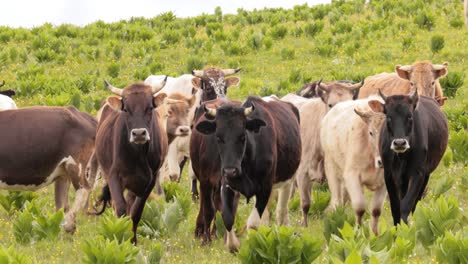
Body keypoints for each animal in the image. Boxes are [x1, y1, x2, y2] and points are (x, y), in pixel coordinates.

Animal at [94, 80, 169, 243]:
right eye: (126, 110)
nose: (139, 133)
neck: (137, 155)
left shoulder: (149, 182)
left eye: (149, 108)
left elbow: (136, 212)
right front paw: (120, 239)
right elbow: (120, 210)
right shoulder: (114, 177)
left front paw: (132, 241)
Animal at [192, 96, 302, 252]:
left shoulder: (265, 188)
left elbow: (253, 224)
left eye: (242, 136)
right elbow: (227, 217)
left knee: (281, 209)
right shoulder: (227, 185)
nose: (230, 170)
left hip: (289, 179)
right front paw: (233, 245)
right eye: (218, 137)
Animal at [322, 97, 388, 235]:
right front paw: (358, 232)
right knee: (337, 200)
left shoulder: (385, 182)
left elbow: (376, 210)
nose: (382, 161)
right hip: (331, 168)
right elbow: (359, 207)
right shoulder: (352, 176)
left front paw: (375, 234)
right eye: (371, 132)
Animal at [370, 90, 450, 225]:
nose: (399, 143)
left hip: (425, 175)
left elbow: (406, 205)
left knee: (415, 201)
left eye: (410, 117)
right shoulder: (389, 175)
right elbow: (395, 207)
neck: (401, 157)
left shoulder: (417, 173)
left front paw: (405, 227)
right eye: (388, 117)